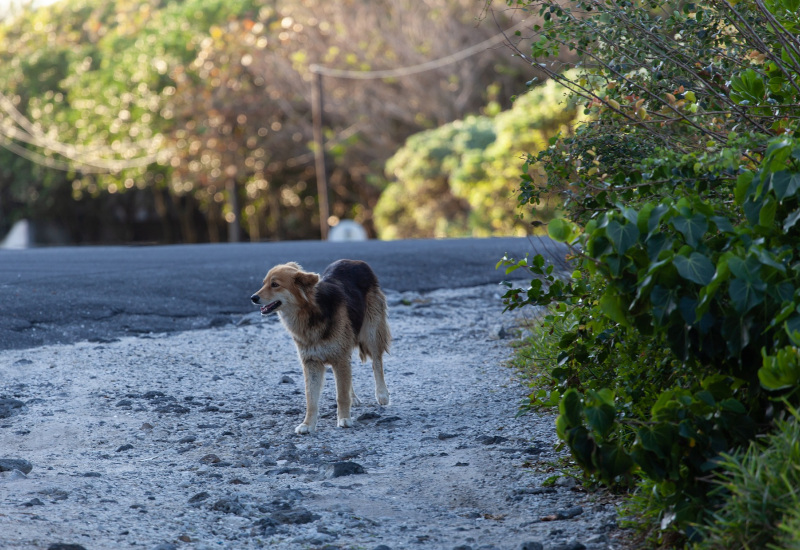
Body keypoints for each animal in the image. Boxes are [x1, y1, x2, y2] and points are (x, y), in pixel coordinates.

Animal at [248, 260, 390, 438]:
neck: (310, 312)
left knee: (377, 362)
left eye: (275, 285)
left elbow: (341, 394)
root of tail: (355, 261)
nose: (253, 298)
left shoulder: (339, 357)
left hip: (371, 332)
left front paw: (344, 418)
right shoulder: (312, 362)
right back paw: (354, 398)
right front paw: (308, 424)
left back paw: (382, 394)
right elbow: (311, 399)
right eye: (264, 283)